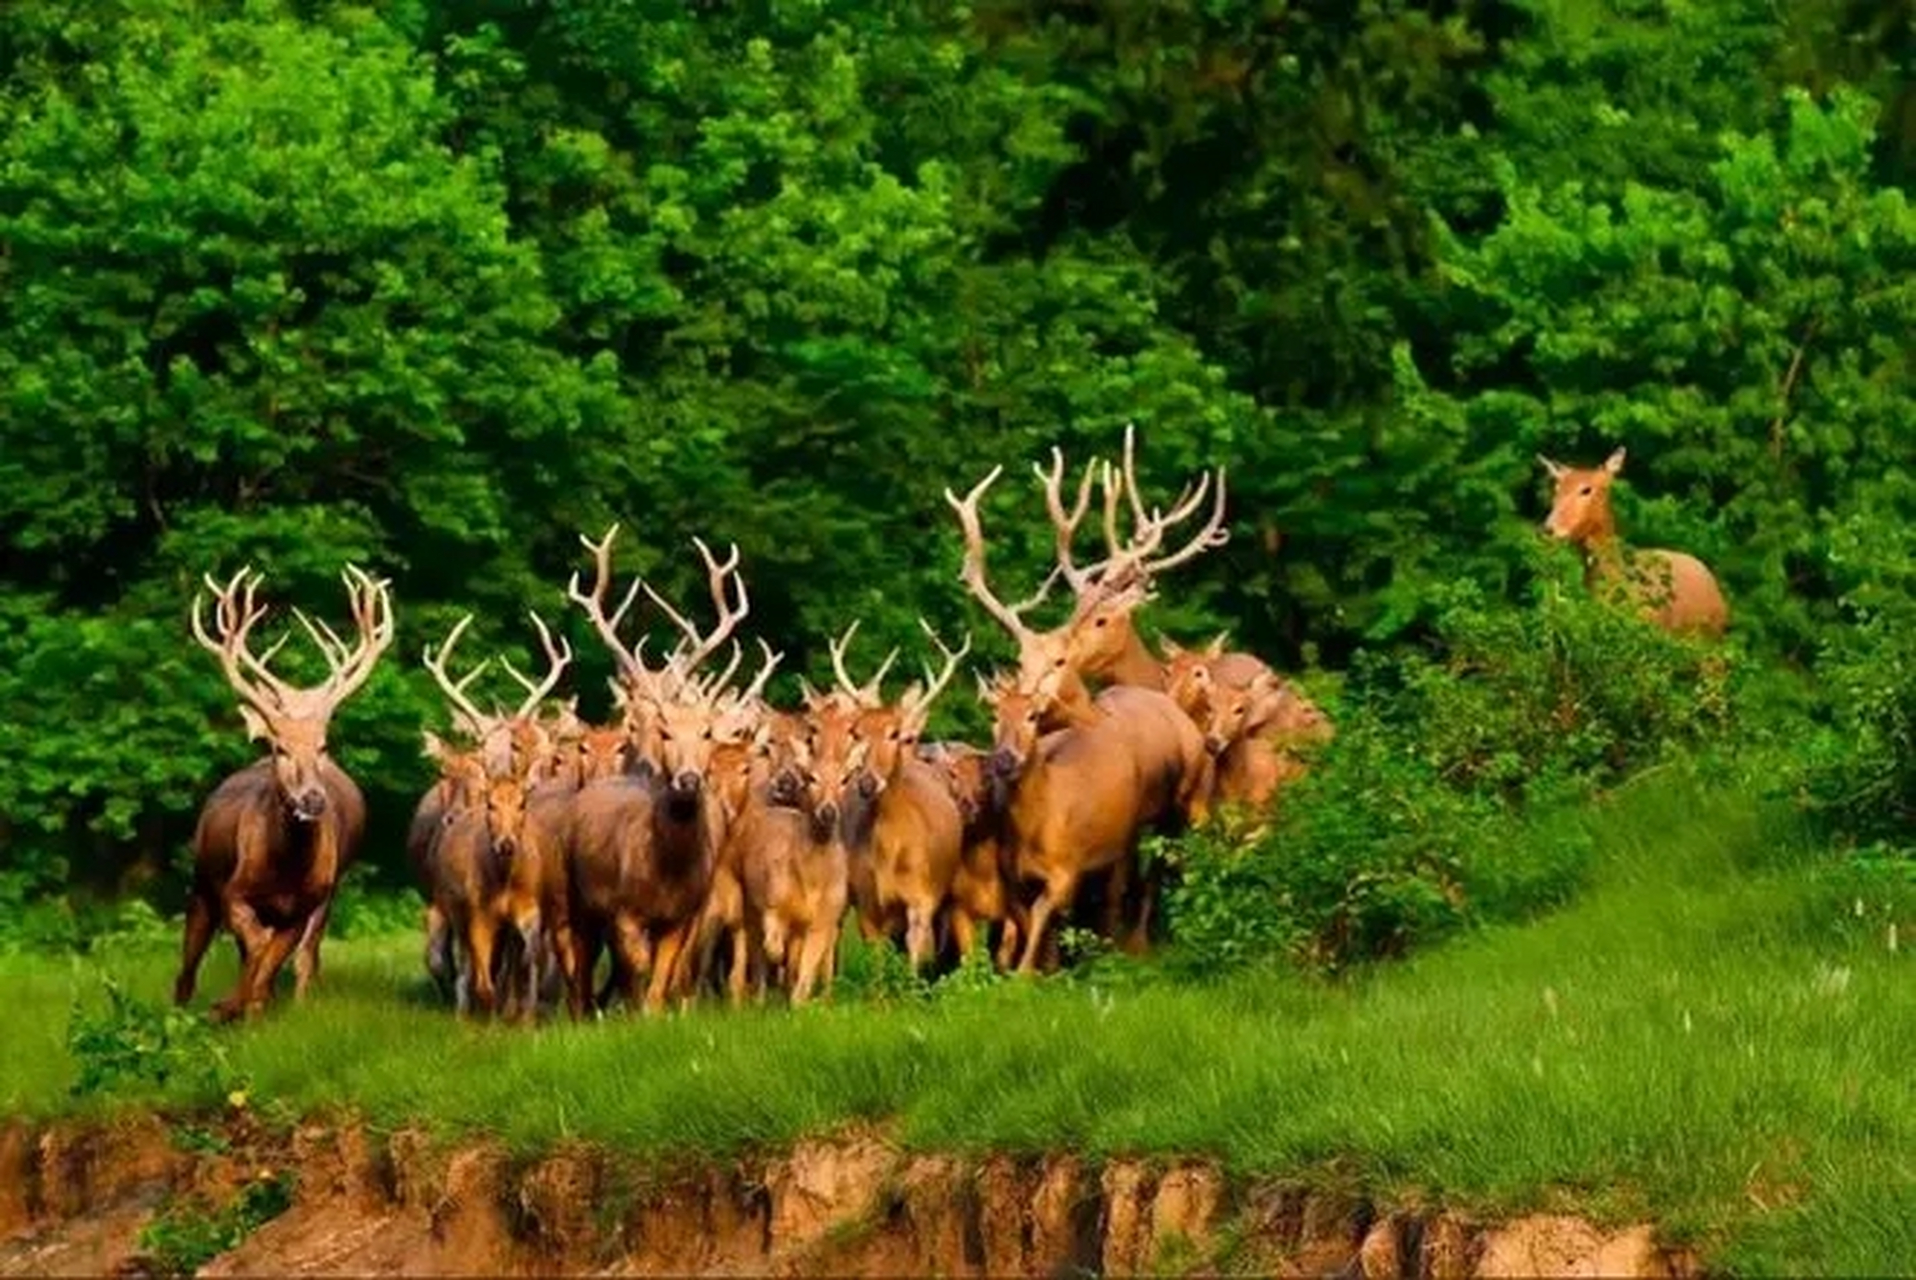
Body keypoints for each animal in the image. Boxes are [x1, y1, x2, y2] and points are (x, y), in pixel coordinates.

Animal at [177, 563, 396, 1027]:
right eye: (281, 748)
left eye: (323, 746)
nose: (313, 799)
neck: (284, 868)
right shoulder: (234, 893)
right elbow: (257, 949)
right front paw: (227, 1006)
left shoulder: (305, 903)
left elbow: (275, 957)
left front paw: (243, 1006)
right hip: (202, 881)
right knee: (187, 967)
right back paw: (186, 1009)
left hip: (327, 895)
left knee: (304, 957)